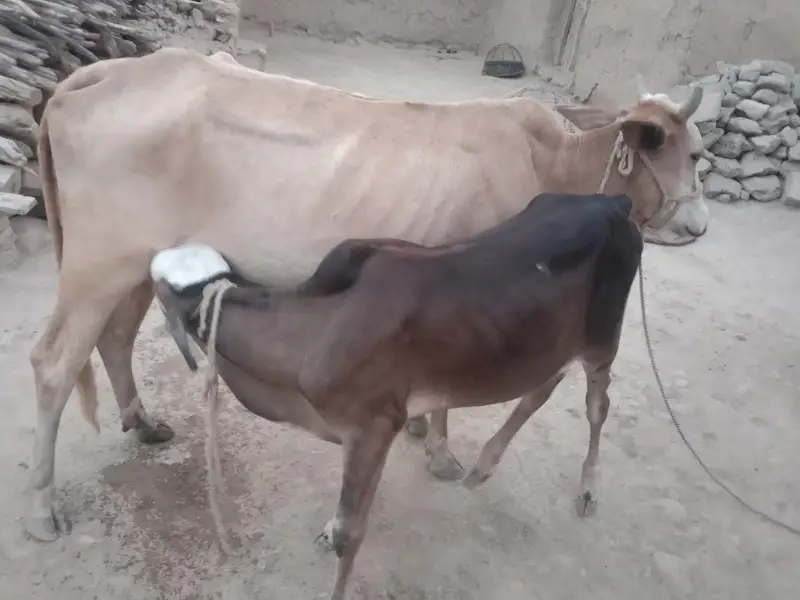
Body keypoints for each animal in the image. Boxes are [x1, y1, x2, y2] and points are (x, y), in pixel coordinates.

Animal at [25, 46, 707, 541]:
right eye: (692, 153)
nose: (698, 226)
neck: (553, 163)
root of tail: (102, 73)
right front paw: (442, 453)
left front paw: (423, 434)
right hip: (98, 262)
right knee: (54, 365)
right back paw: (43, 509)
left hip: (134, 265)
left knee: (114, 338)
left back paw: (143, 424)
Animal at [150, 191, 645, 600]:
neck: (313, 332)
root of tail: (612, 202)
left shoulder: (375, 426)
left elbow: (352, 532)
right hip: (550, 342)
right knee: (542, 388)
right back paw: (482, 467)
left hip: (603, 339)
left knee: (597, 408)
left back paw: (587, 489)